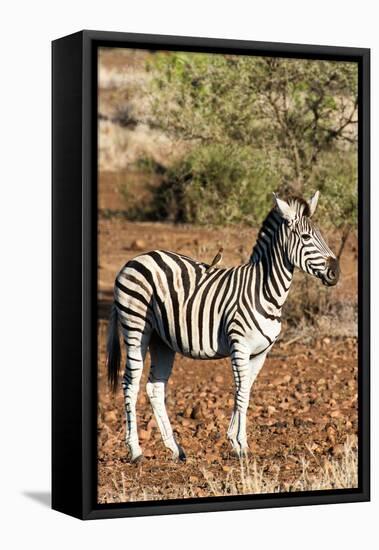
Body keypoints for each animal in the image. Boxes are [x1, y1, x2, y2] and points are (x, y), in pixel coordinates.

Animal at [106, 192, 342, 464]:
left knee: (154, 387)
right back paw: (135, 451)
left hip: (161, 340)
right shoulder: (239, 347)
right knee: (130, 383)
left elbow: (246, 392)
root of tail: (134, 260)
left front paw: (239, 442)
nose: (335, 273)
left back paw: (176, 450)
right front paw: (239, 444)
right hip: (135, 327)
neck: (265, 291)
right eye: (305, 238)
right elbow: (240, 393)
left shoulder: (261, 353)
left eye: (321, 235)